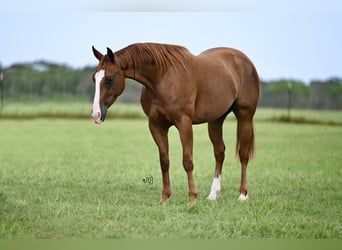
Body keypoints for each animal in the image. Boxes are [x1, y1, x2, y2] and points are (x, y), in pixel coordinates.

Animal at [91, 42, 260, 203]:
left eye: (110, 78)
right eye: (94, 78)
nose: (96, 114)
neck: (162, 78)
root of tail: (245, 61)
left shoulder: (184, 123)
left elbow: (187, 161)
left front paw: (192, 198)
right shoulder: (156, 126)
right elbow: (164, 161)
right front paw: (165, 197)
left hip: (245, 117)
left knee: (243, 154)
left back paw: (242, 195)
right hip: (216, 120)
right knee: (219, 152)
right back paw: (213, 194)